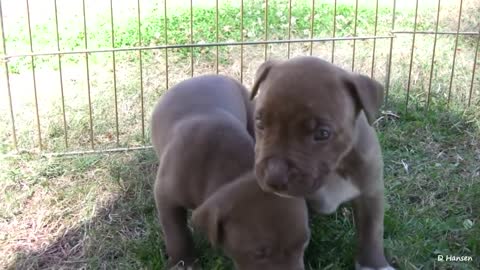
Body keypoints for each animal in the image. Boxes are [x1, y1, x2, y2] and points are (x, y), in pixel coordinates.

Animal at [251, 57, 394, 270]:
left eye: (322, 133)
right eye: (260, 123)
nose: (274, 176)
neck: (334, 171)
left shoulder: (371, 192)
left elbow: (372, 231)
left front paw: (374, 264)